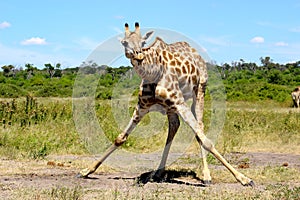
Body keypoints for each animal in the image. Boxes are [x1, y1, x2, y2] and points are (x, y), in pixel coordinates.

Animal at [77, 22, 253, 186]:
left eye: (143, 42)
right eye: (125, 43)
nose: (139, 56)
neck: (153, 73)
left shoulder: (179, 102)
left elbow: (206, 141)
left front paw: (244, 178)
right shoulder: (142, 106)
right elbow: (120, 138)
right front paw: (86, 171)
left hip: (199, 90)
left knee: (200, 127)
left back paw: (206, 176)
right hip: (170, 107)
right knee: (174, 127)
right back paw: (158, 173)